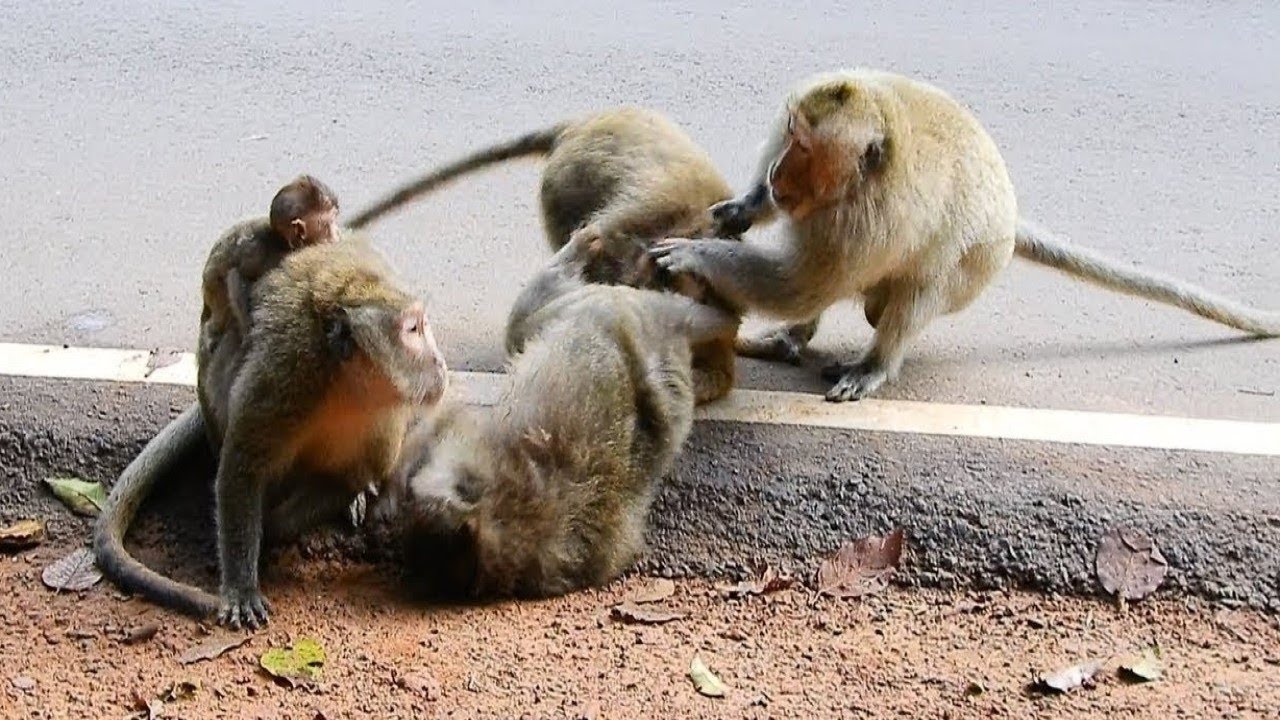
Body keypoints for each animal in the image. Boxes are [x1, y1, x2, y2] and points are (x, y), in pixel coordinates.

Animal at [95, 239, 449, 628]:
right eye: (413, 330)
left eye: (423, 326)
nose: (440, 362)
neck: (345, 383)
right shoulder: (285, 379)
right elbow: (242, 469)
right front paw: (241, 584)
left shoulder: (383, 422)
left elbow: (346, 479)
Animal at [388, 229, 739, 599]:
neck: (497, 521)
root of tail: (669, 328)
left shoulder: (468, 454)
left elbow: (449, 421)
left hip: (603, 303)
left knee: (529, 316)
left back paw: (583, 248)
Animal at [650, 68, 1280, 402]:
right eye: (788, 134)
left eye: (805, 150)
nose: (780, 175)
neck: (859, 179)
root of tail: (1009, 213)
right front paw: (744, 207)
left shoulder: (861, 224)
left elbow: (801, 283)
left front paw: (699, 255)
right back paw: (791, 339)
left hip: (976, 265)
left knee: (911, 296)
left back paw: (874, 361)